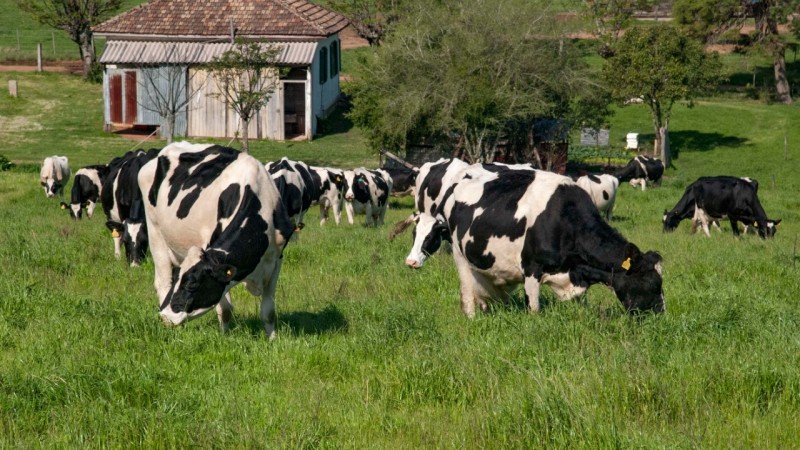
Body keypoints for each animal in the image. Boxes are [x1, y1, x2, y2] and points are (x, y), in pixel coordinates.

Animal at [138, 142, 294, 336]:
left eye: (192, 284)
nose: (165, 316)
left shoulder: (276, 259)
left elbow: (269, 311)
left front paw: (271, 338)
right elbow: (225, 309)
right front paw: (224, 336)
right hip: (155, 232)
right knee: (162, 282)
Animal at [406, 168, 664, 316]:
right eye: (653, 283)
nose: (659, 315)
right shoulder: (531, 268)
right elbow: (534, 309)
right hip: (461, 257)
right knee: (468, 294)